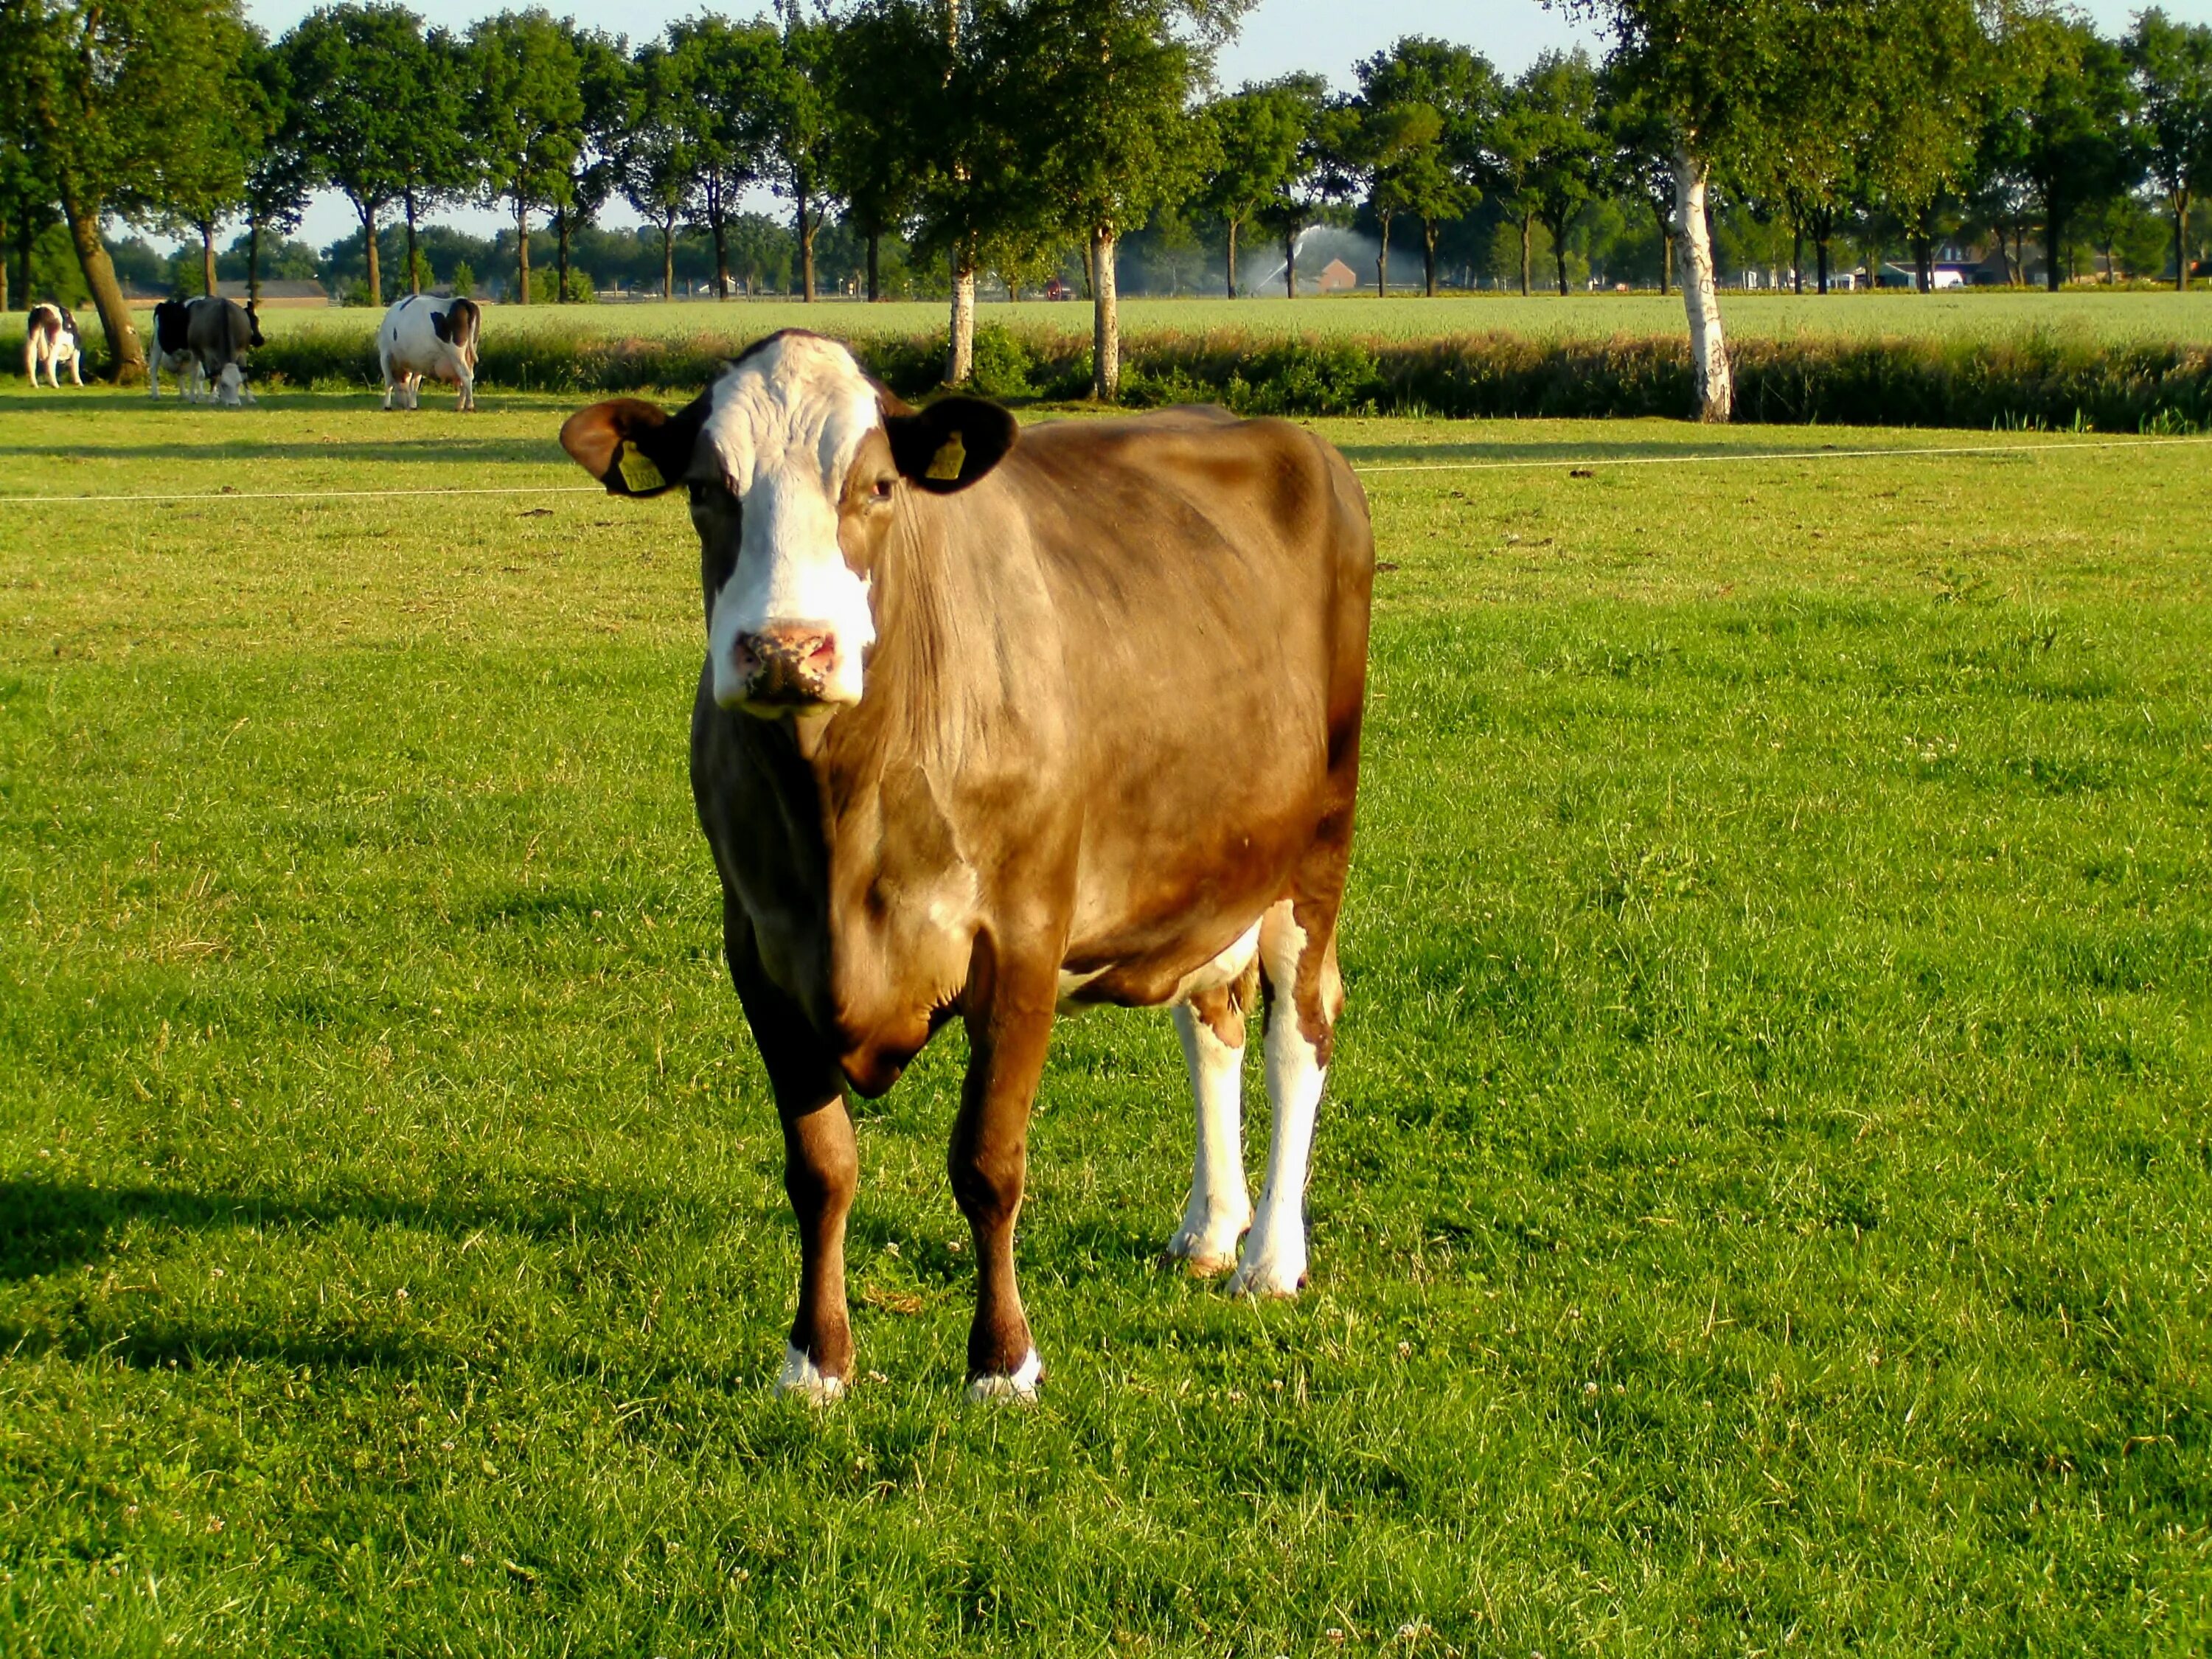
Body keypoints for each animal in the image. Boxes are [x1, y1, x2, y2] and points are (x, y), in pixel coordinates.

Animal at [377, 293, 480, 411]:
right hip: (469, 353)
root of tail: (462, 301)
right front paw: (413, 405)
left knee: (466, 376)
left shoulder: (385, 354)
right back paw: (459, 406)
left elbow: (389, 382)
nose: (403, 405)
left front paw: (387, 405)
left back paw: (469, 405)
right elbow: (414, 383)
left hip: (456, 354)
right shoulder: (418, 360)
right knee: (467, 377)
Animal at [559, 331, 1373, 1403]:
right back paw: (1209, 1227)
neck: (841, 816)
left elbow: (989, 1162)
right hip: (1202, 864)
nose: (786, 649)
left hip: (1313, 849)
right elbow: (820, 1166)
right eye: (704, 488)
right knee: (1213, 1022)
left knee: (1298, 1033)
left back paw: (1271, 1256)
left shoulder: (1022, 939)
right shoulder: (760, 950)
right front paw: (814, 1361)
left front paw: (1001, 1363)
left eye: (878, 485)